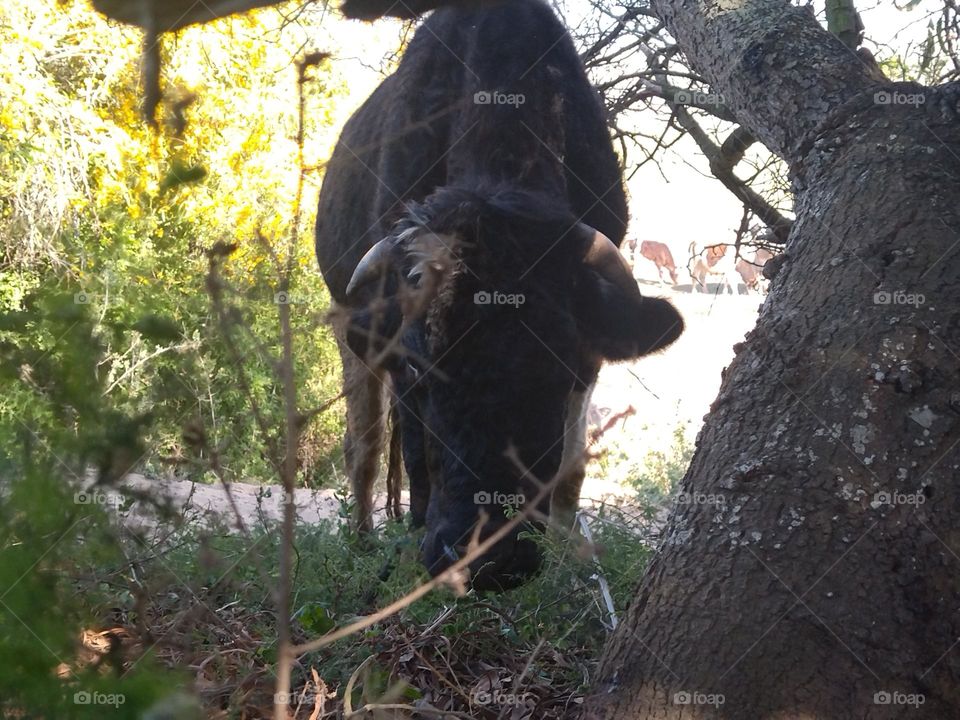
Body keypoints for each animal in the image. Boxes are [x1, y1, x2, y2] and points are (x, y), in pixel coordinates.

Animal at [314, 0, 683, 591]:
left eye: (562, 368)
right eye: (419, 366)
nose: (487, 558)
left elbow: (571, 471)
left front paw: (566, 560)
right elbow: (413, 457)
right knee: (364, 445)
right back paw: (365, 539)